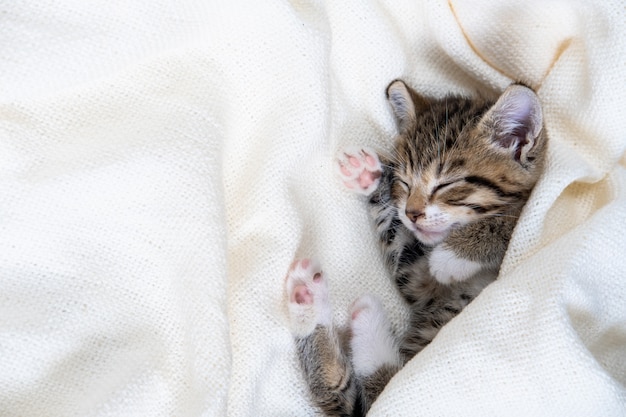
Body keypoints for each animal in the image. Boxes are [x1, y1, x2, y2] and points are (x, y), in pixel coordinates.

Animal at [286, 79, 544, 414]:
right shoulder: (420, 283)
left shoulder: (534, 206)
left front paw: (451, 256)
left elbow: (510, 219)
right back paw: (310, 301)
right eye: (405, 183)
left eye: (446, 184)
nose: (411, 213)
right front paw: (371, 175)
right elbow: (401, 243)